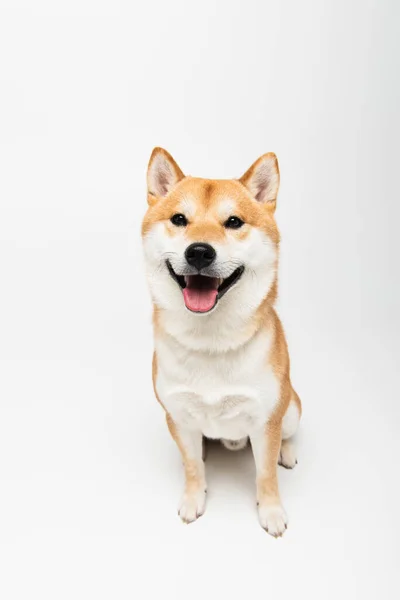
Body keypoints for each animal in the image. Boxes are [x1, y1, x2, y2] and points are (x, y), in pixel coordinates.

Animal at [142, 148, 302, 536]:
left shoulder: (266, 421)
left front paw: (271, 512)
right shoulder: (177, 416)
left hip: (290, 408)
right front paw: (193, 498)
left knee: (286, 435)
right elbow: (192, 467)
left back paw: (286, 451)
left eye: (233, 222)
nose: (199, 252)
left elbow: (265, 475)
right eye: (179, 219)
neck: (210, 341)